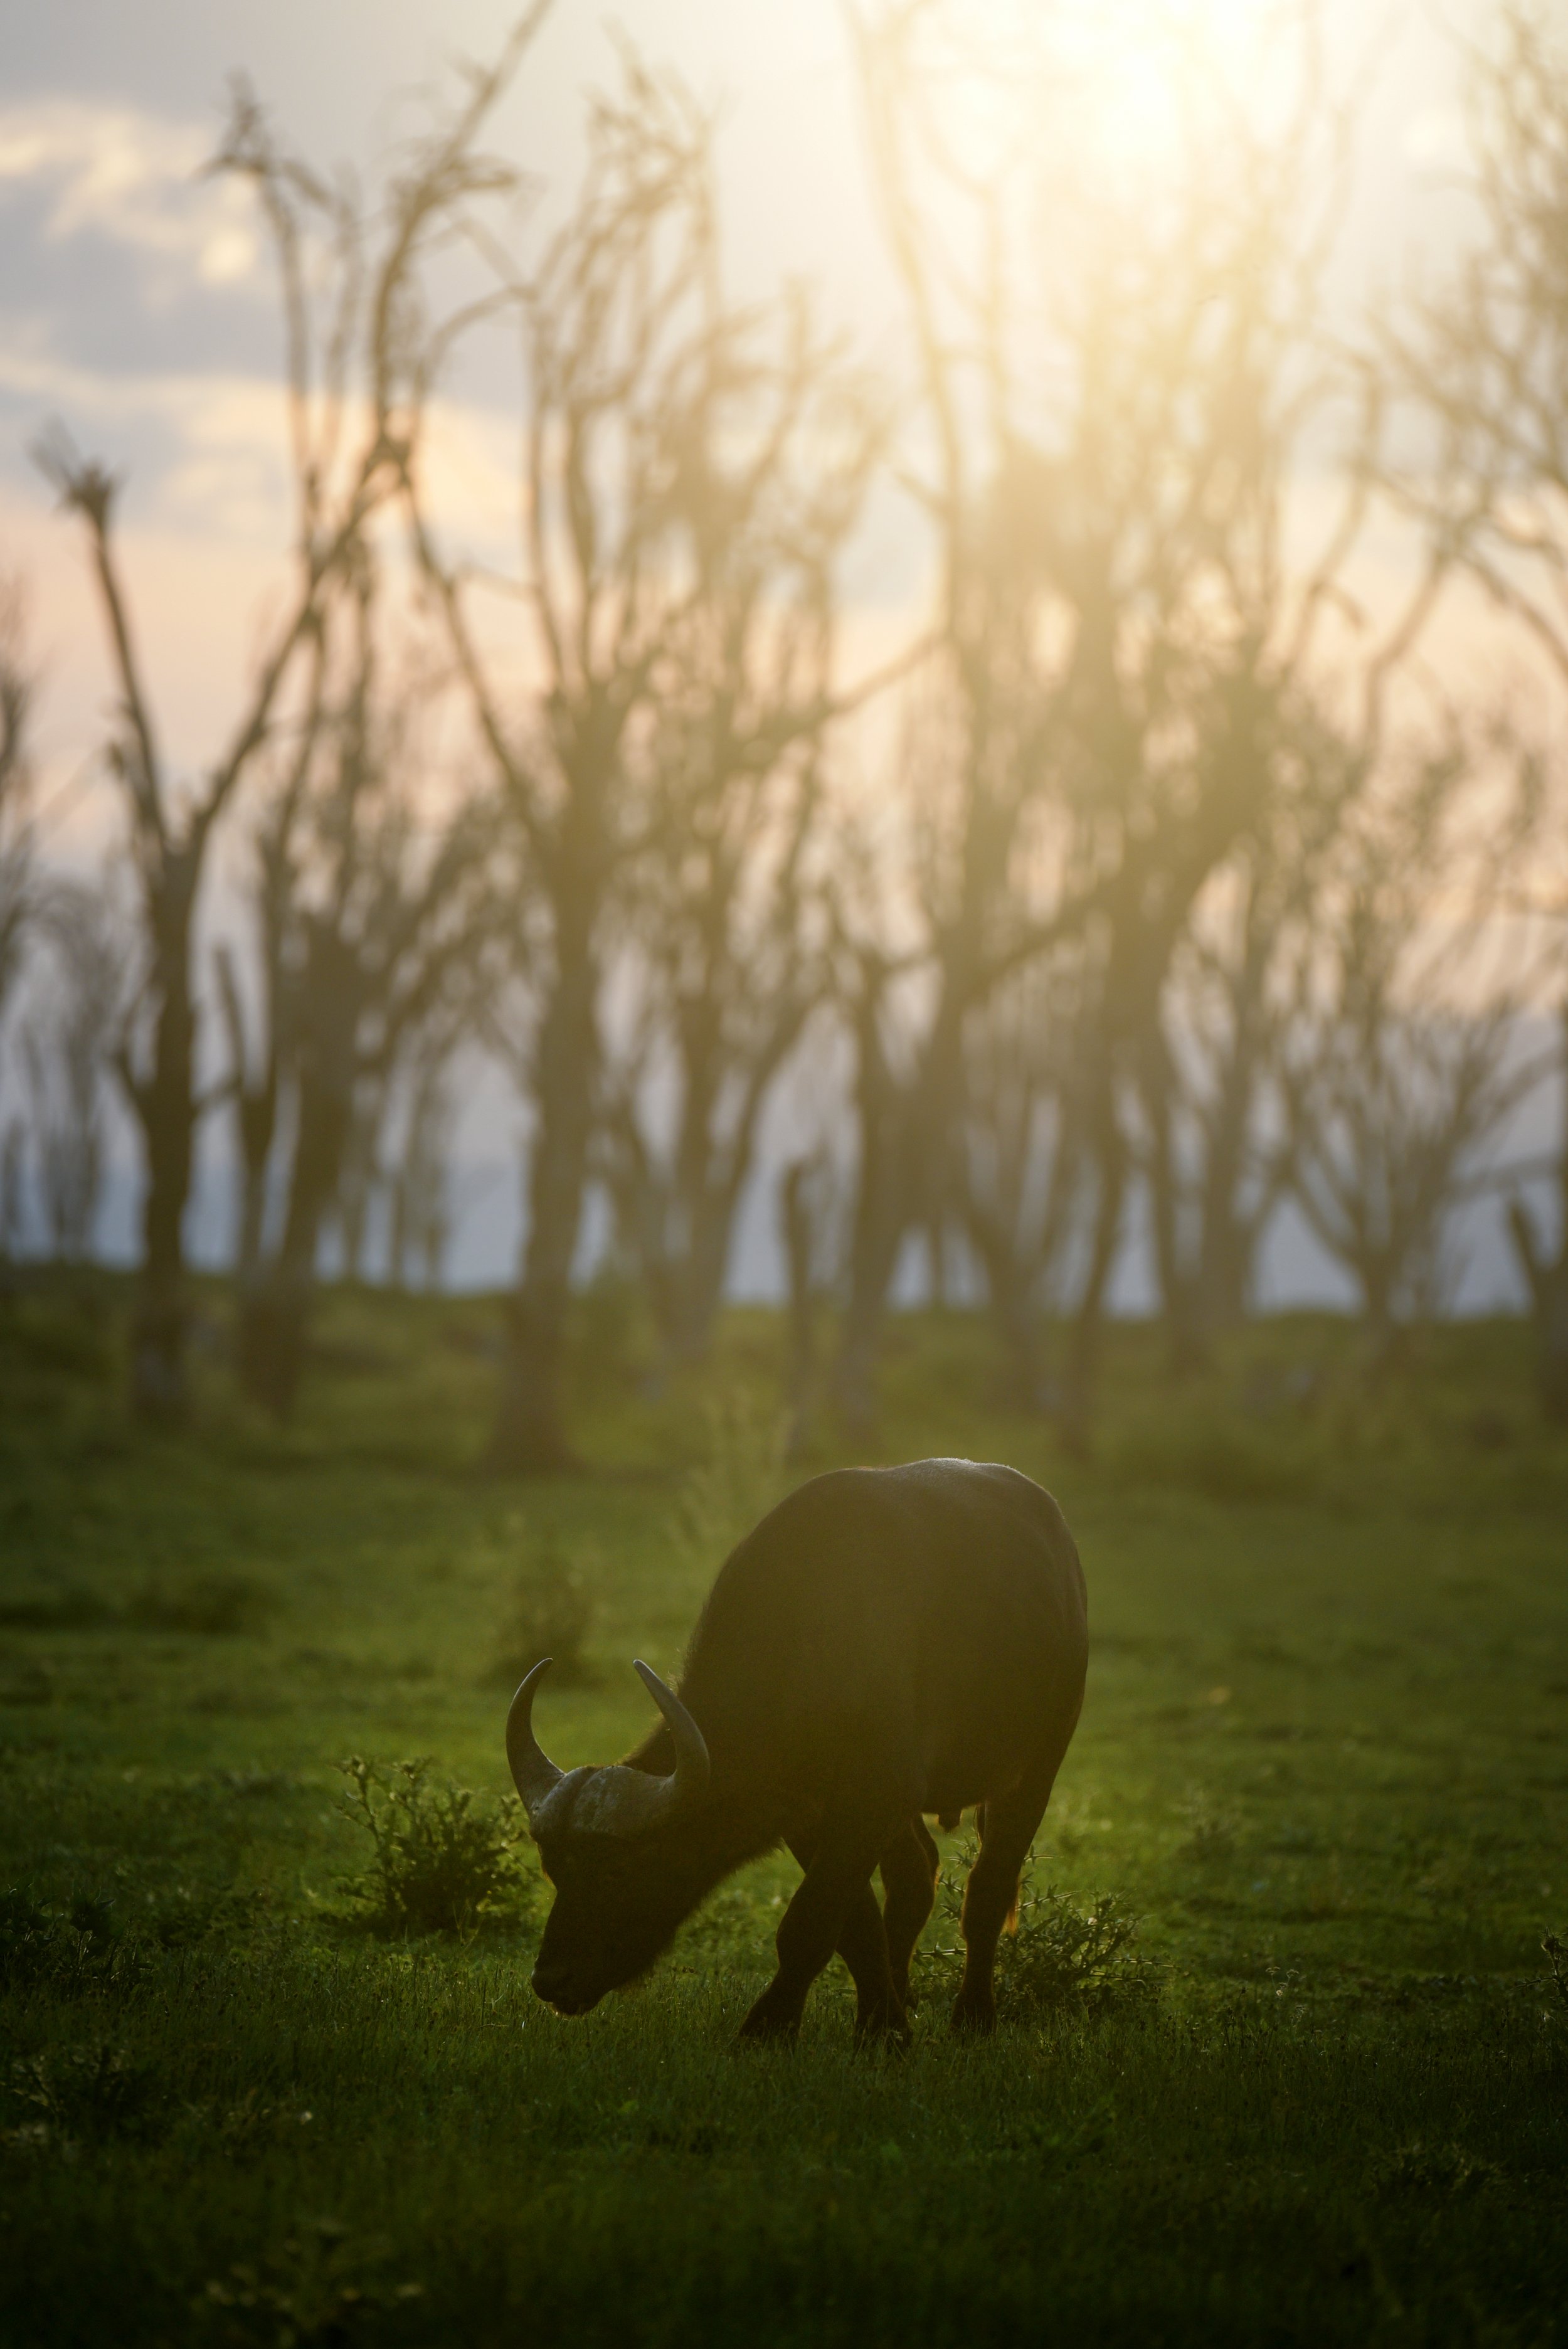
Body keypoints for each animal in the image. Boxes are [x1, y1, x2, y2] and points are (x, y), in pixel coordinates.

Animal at [509, 1446, 1084, 2039]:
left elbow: (808, 1922)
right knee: (914, 1879)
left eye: (618, 1868)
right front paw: (883, 2028)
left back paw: (974, 2015)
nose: (552, 1979)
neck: (802, 1648)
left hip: (1039, 1762)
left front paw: (768, 2026)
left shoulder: (874, 1794)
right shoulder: (810, 1815)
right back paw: (901, 1996)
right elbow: (853, 1923)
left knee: (988, 1886)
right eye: (553, 1868)